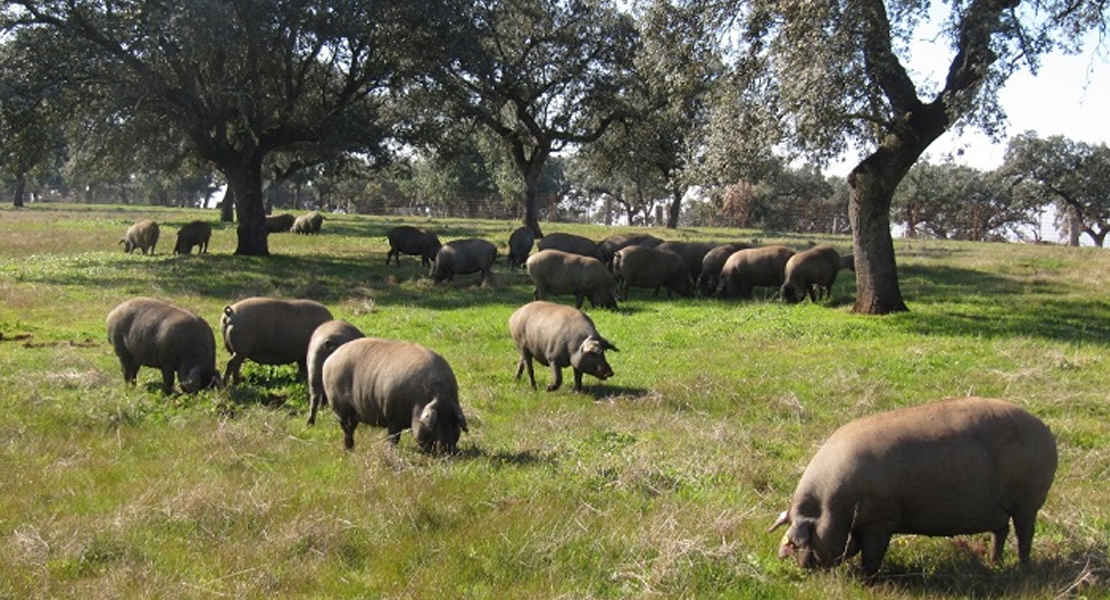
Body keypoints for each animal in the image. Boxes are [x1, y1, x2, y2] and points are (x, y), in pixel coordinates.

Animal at [324, 337, 472, 454]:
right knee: (347, 430)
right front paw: (391, 451)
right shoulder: (392, 416)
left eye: (454, 424)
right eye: (434, 425)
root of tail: (331, 358)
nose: (447, 451)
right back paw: (349, 450)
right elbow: (393, 438)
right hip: (341, 409)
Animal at [772, 397, 1056, 576]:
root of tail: (1046, 431)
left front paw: (865, 579)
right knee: (1002, 530)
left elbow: (872, 554)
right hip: (999, 508)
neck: (833, 506)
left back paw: (1023, 568)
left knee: (1024, 534)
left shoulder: (881, 520)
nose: (802, 566)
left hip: (1027, 502)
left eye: (805, 538)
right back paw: (995, 564)